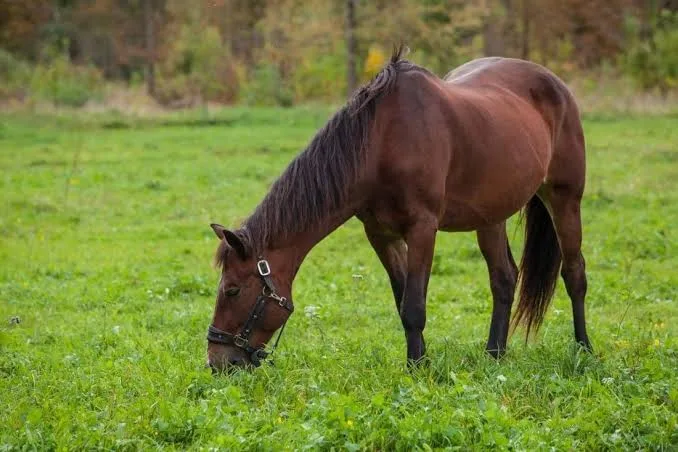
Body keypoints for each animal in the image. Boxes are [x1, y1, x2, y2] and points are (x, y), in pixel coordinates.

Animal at [206, 46, 592, 372]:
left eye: (233, 290)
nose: (217, 362)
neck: (383, 143)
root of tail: (555, 84)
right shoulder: (381, 234)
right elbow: (401, 299)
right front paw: (420, 361)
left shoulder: (422, 229)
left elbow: (414, 306)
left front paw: (417, 369)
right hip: (490, 216)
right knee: (504, 278)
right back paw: (494, 355)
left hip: (565, 200)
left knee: (574, 273)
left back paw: (584, 350)